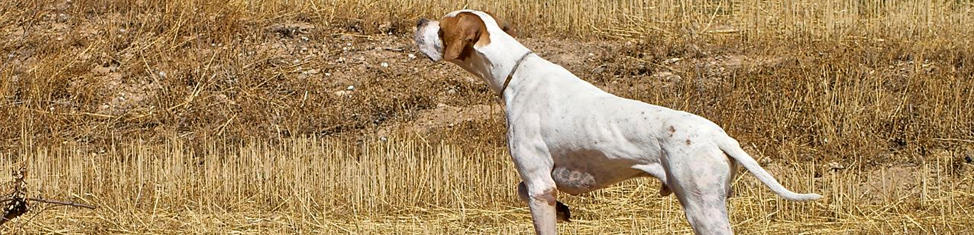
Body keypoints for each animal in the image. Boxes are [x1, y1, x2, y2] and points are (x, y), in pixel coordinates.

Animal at [414, 10, 824, 234]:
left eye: (442, 26)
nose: (419, 20)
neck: (515, 74)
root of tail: (719, 135)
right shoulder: (541, 183)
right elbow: (526, 191)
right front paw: (565, 211)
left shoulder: (539, 184)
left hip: (702, 210)